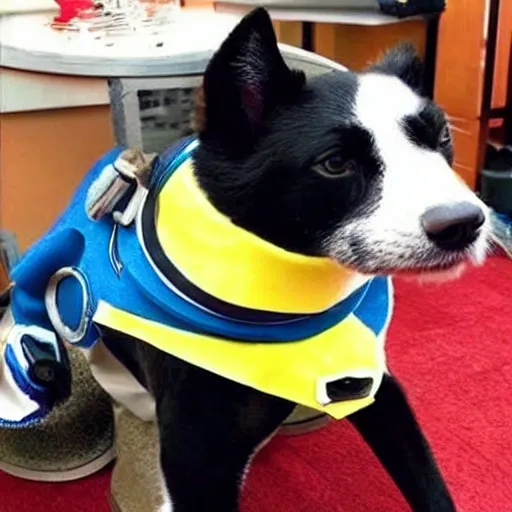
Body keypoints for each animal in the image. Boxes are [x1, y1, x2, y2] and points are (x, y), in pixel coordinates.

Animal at [5, 5, 492, 512]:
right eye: (335, 163)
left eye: (441, 137)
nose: (463, 224)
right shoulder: (194, 462)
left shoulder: (378, 389)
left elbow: (429, 483)